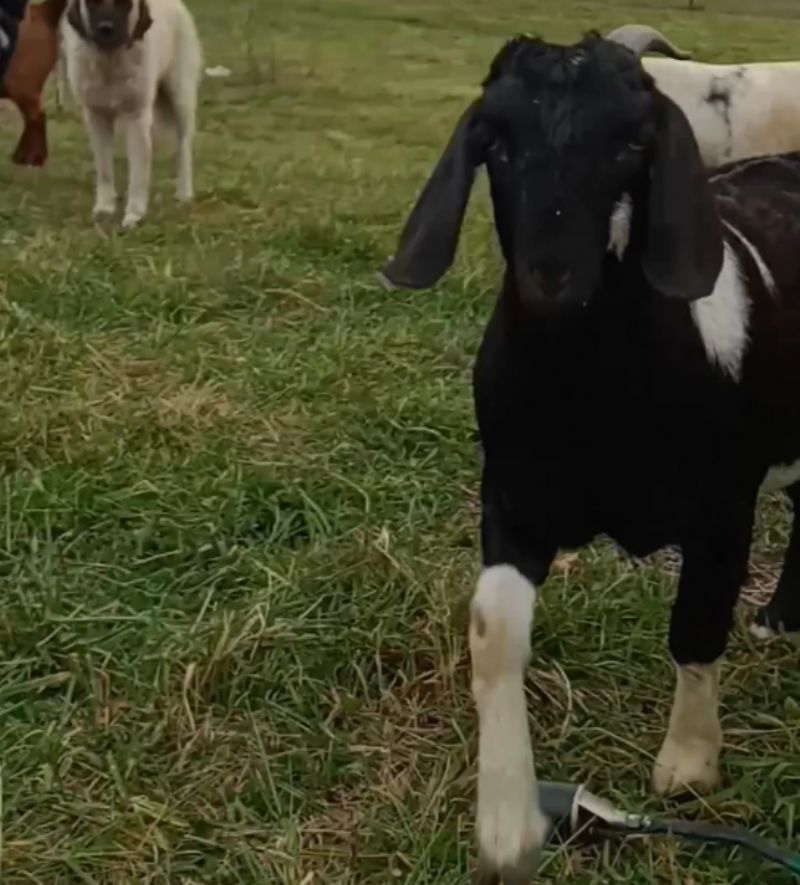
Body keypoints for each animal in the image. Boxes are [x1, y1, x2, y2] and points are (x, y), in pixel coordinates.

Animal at [65, 0, 203, 228]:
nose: (106, 29)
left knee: (183, 147)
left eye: (123, 3)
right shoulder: (96, 116)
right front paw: (105, 207)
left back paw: (184, 193)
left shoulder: (136, 117)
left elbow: (138, 171)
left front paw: (134, 213)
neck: (109, 62)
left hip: (180, 96)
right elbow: (104, 168)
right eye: (93, 2)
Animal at [380, 31, 800, 880]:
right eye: (497, 142)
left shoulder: (724, 509)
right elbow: (493, 631)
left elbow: (696, 625)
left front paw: (688, 766)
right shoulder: (513, 499)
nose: (554, 278)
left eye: (634, 143)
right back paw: (779, 619)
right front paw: (507, 822)